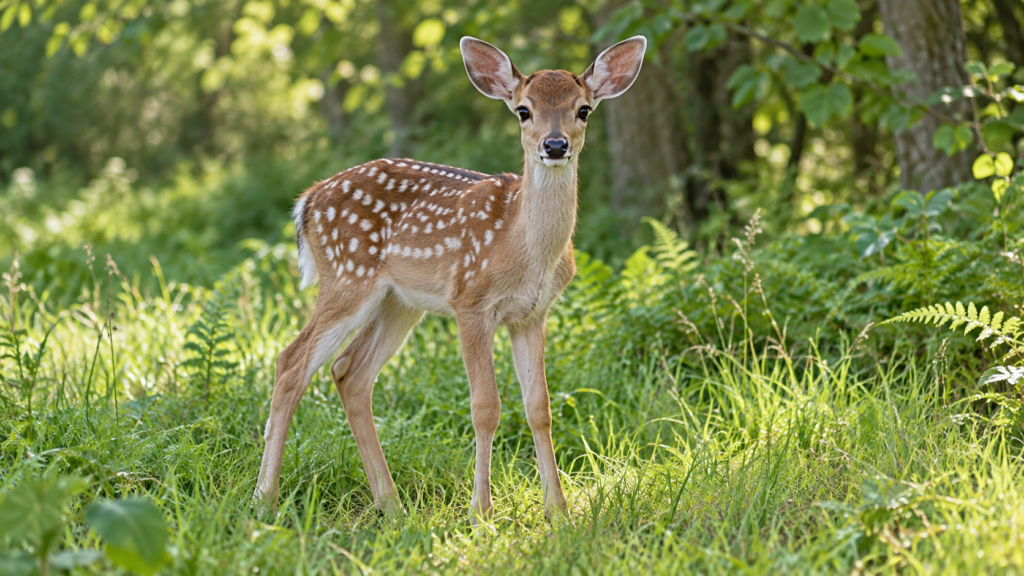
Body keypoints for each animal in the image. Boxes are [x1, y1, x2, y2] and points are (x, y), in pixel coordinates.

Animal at [254, 35, 647, 523]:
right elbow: (485, 407)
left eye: (584, 109)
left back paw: (392, 505)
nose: (555, 146)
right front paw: (481, 512)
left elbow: (539, 407)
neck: (523, 247)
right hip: (348, 277)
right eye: (523, 110)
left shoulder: (532, 313)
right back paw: (264, 499)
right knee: (291, 361)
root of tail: (306, 201)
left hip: (398, 302)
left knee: (350, 372)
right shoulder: (470, 302)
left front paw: (559, 511)